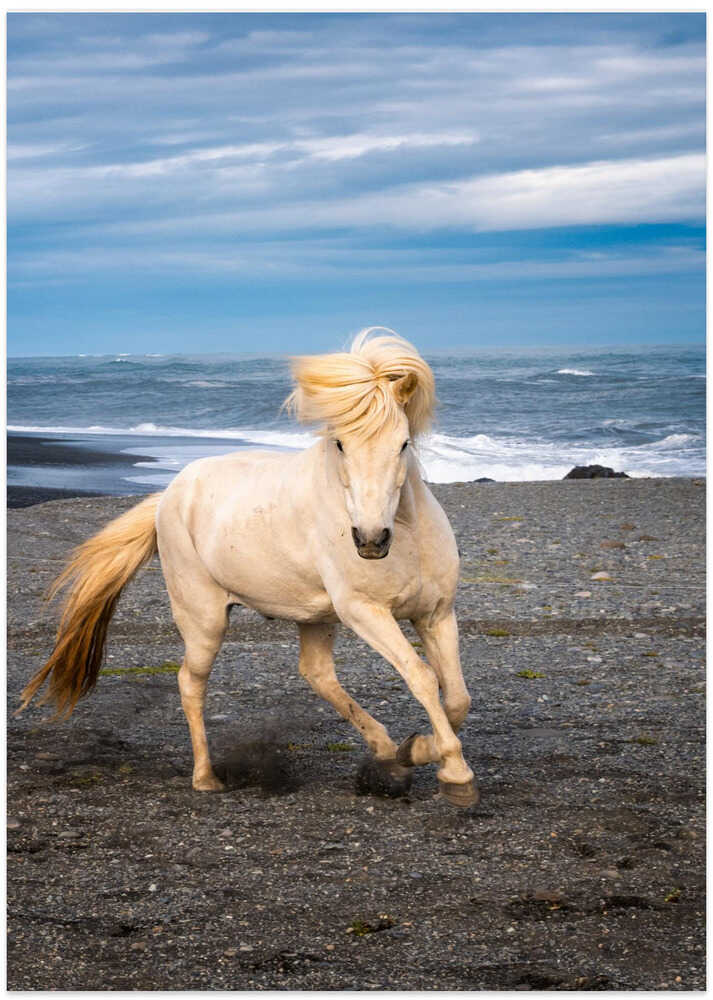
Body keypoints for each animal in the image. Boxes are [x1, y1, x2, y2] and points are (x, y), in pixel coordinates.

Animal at [18, 329, 478, 808]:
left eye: (403, 443)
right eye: (340, 443)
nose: (370, 540)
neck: (407, 534)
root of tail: (170, 493)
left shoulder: (436, 614)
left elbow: (457, 696)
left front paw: (417, 752)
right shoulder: (366, 612)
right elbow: (423, 678)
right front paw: (454, 773)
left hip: (315, 615)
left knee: (318, 675)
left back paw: (386, 751)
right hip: (204, 620)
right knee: (191, 682)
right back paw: (206, 777)